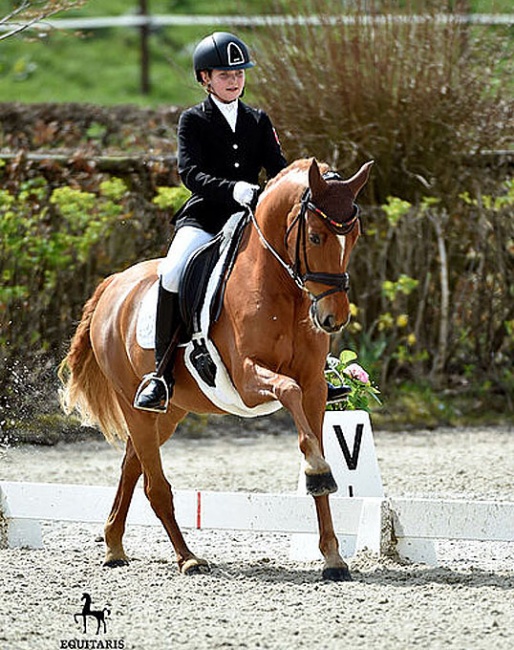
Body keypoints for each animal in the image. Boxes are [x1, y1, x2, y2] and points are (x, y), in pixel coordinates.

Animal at [59, 158, 372, 584]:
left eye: (353, 236)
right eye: (316, 237)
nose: (333, 318)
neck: (281, 289)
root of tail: (113, 284)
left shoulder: (315, 388)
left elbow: (312, 439)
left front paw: (333, 558)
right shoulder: (247, 380)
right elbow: (288, 393)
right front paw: (317, 470)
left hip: (167, 414)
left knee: (131, 466)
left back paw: (114, 546)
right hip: (134, 404)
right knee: (154, 485)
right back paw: (187, 558)